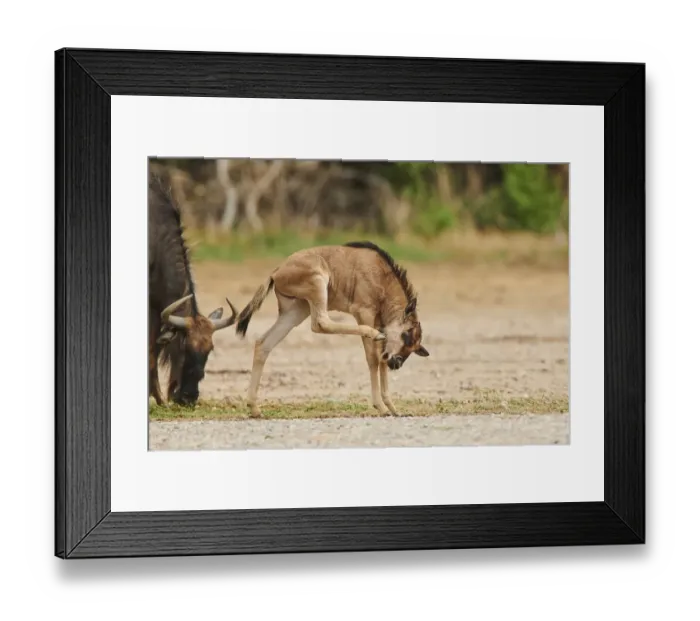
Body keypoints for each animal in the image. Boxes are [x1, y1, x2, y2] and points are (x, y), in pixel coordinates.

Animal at [235, 241, 430, 417]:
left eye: (415, 345)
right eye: (407, 334)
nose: (397, 363)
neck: (381, 275)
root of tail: (277, 272)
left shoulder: (381, 329)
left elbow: (381, 360)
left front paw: (393, 408)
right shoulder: (364, 313)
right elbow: (373, 359)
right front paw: (381, 407)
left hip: (296, 310)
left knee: (264, 343)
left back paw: (254, 408)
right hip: (318, 284)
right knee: (320, 323)